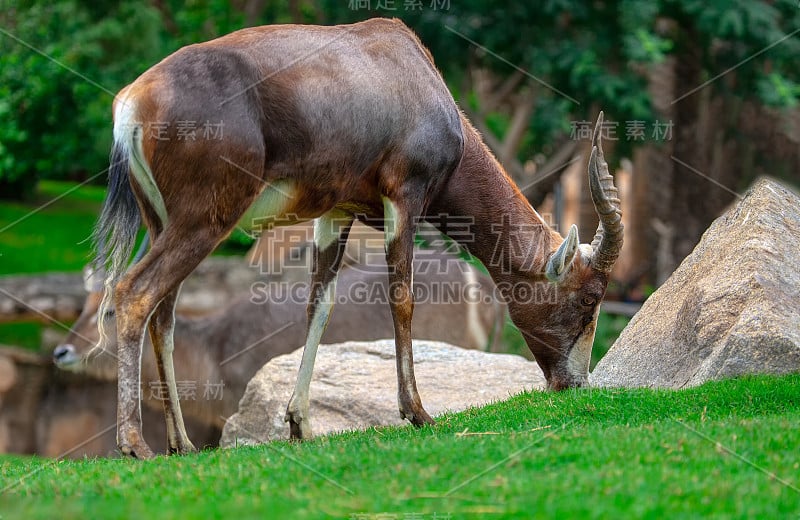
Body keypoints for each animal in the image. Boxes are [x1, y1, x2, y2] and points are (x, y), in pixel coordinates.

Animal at [97, 19, 620, 460]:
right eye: (589, 298)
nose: (574, 385)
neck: (409, 67)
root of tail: (133, 102)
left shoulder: (336, 212)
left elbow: (319, 303)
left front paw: (300, 424)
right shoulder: (404, 198)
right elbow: (402, 297)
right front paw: (418, 413)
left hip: (162, 221)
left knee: (164, 312)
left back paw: (181, 444)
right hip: (204, 220)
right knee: (135, 293)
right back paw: (134, 445)